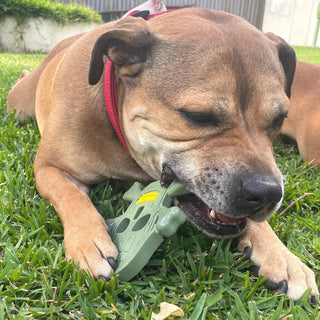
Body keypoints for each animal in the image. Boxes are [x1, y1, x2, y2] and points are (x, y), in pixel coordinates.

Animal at [6, 8, 318, 302]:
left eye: (279, 119)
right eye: (197, 116)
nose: (267, 193)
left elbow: (260, 225)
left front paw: (283, 257)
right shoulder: (48, 168)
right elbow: (72, 196)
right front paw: (88, 241)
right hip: (19, 104)